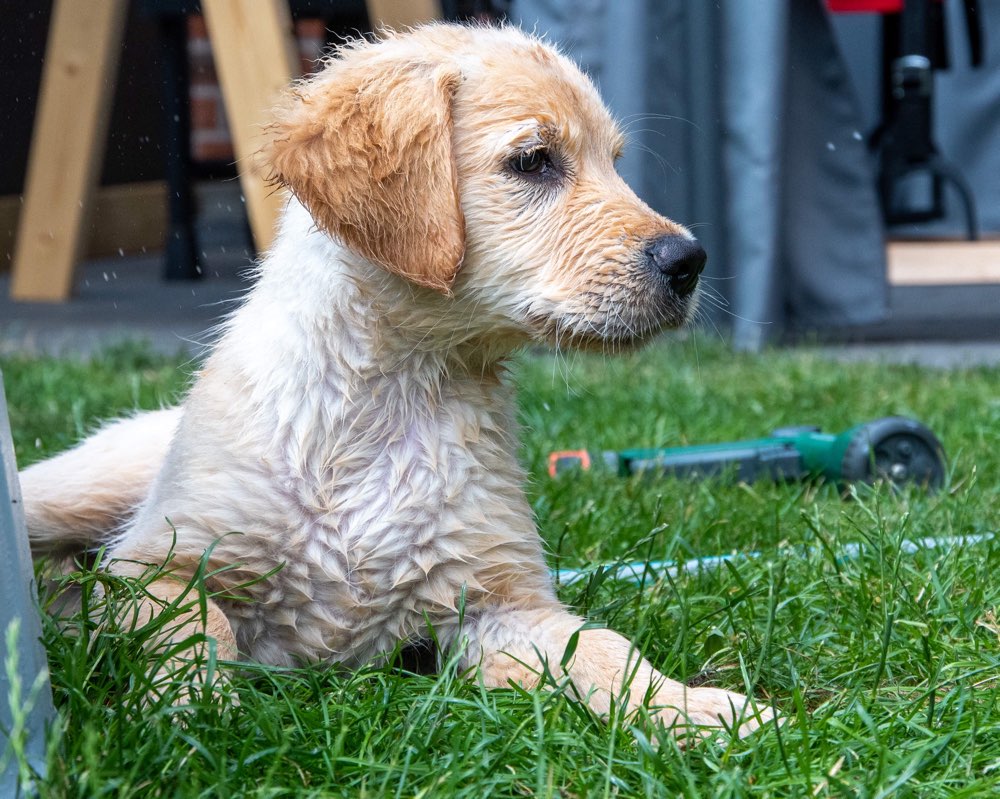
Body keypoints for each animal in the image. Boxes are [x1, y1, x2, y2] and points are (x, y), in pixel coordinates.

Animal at [21, 23, 772, 736]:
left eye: (614, 164)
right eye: (533, 161)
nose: (690, 261)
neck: (396, 392)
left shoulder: (499, 599)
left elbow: (606, 650)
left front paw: (698, 709)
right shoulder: (154, 562)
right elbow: (194, 624)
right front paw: (192, 712)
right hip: (78, 491)